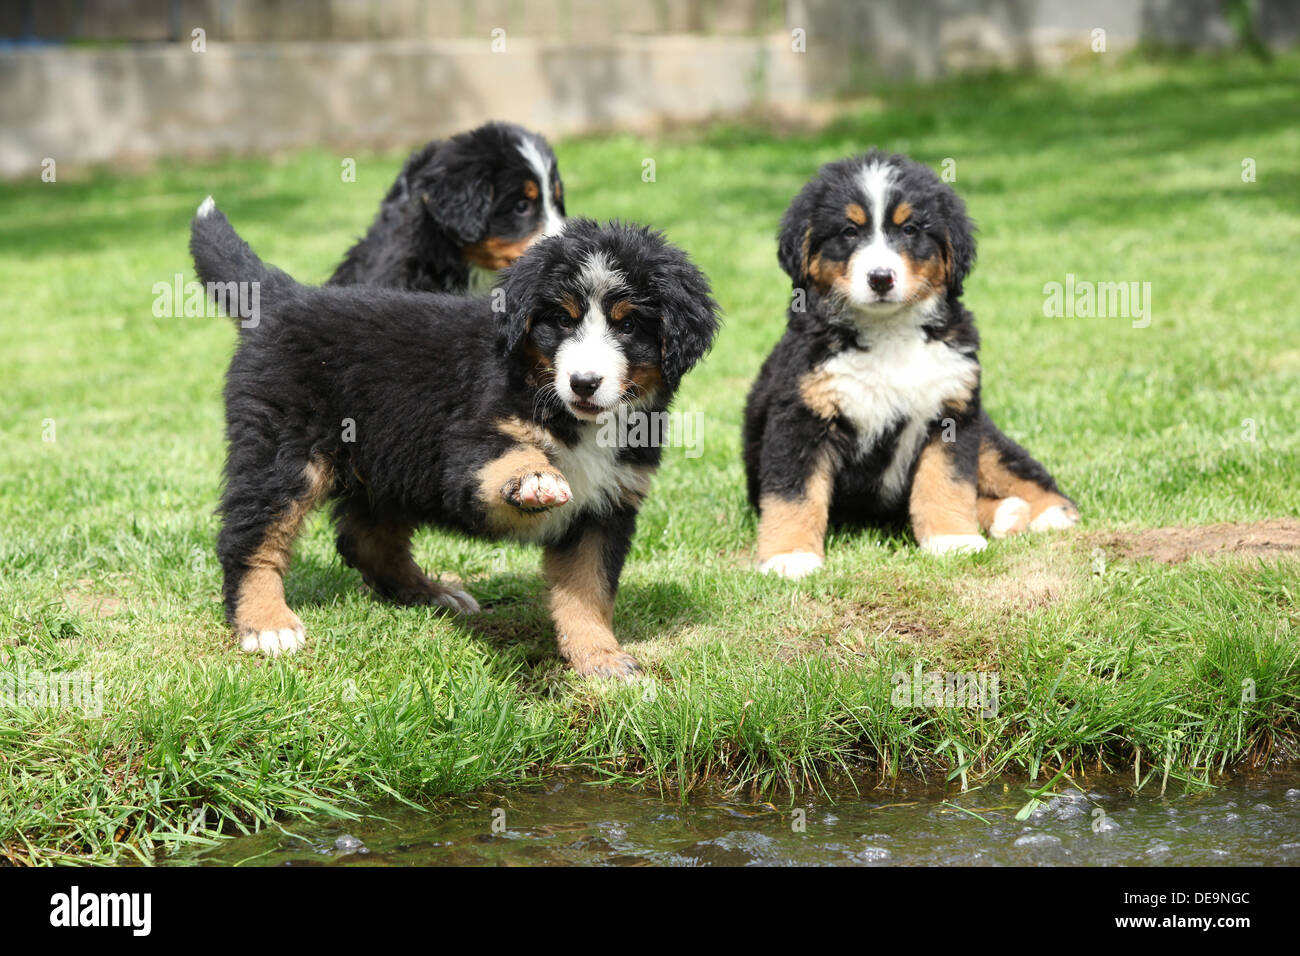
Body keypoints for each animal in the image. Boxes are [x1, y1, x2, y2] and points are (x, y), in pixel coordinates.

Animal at [189, 197, 722, 676]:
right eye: (562, 319)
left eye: (628, 324)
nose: (584, 383)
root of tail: (286, 297)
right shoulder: (470, 448)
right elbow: (508, 461)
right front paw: (534, 479)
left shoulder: (606, 506)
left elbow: (589, 593)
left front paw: (601, 659)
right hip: (283, 447)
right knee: (252, 535)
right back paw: (267, 624)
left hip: (389, 460)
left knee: (366, 539)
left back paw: (430, 593)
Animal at [743, 153, 1076, 580]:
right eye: (849, 232)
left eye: (910, 229)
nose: (881, 278)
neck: (889, 332)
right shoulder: (801, 415)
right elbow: (794, 494)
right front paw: (789, 556)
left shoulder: (952, 412)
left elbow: (945, 483)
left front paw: (952, 539)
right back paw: (1007, 514)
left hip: (984, 435)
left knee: (1016, 469)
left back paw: (1049, 513)